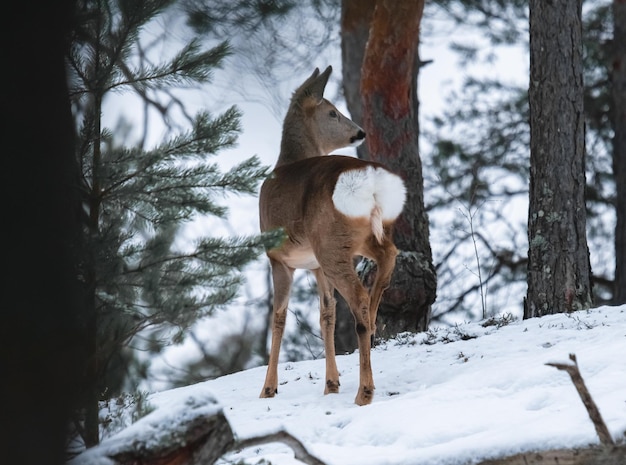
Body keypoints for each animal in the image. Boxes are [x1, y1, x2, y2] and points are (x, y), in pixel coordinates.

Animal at [258, 65, 404, 406]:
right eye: (332, 112)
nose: (360, 132)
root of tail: (371, 178)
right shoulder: (314, 265)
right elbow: (327, 313)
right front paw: (331, 383)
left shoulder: (278, 257)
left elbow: (279, 316)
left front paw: (267, 389)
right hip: (362, 236)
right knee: (389, 257)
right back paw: (374, 323)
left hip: (331, 243)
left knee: (359, 296)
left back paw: (365, 391)